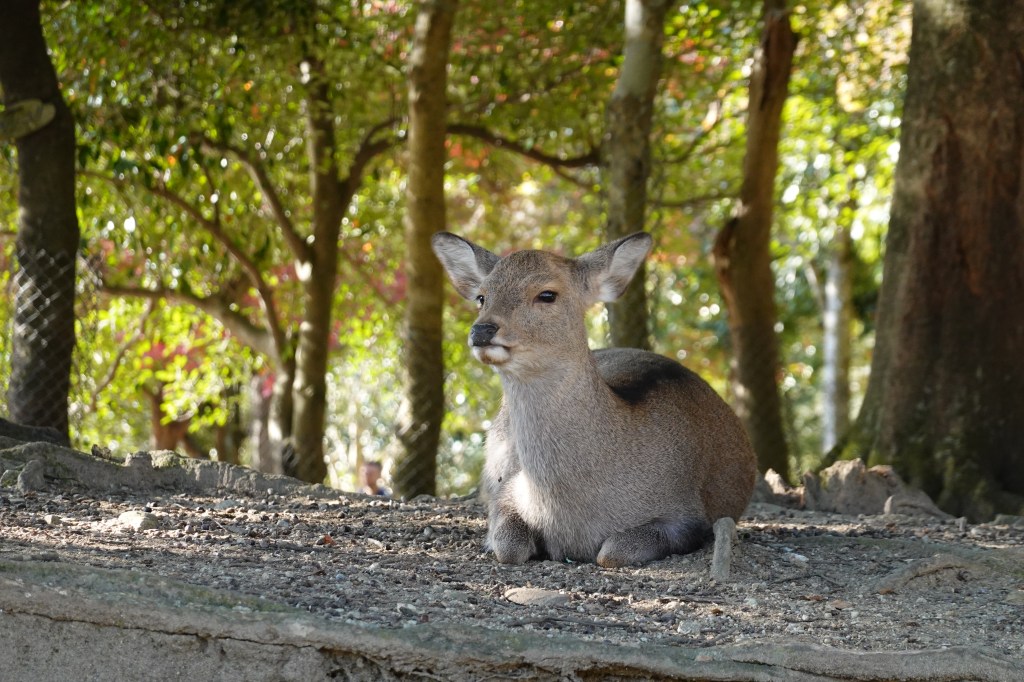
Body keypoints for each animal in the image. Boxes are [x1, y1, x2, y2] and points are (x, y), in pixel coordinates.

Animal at [431, 231, 757, 567]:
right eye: (482, 297)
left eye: (547, 294)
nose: (481, 330)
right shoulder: (507, 488)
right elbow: (509, 547)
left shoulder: (689, 516)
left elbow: (610, 553)